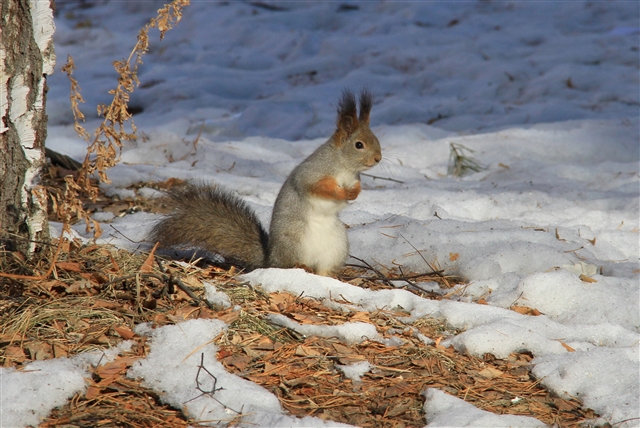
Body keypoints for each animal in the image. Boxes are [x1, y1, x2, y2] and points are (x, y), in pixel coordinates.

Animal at [148, 91, 382, 278]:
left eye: (376, 139)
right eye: (359, 145)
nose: (378, 158)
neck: (344, 167)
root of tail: (271, 259)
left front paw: (354, 193)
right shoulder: (313, 173)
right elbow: (317, 187)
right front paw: (340, 192)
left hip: (336, 245)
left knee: (322, 268)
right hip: (295, 240)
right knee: (289, 265)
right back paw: (300, 266)